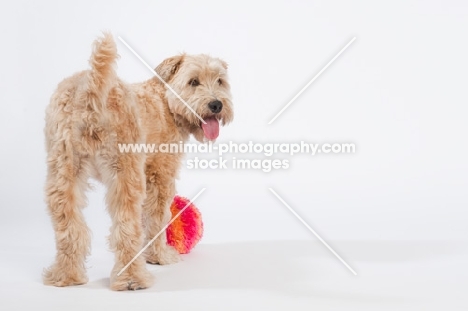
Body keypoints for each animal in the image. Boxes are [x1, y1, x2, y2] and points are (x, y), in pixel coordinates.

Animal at [43, 33, 233, 292]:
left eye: (220, 81)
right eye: (194, 82)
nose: (216, 105)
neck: (165, 103)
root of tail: (90, 89)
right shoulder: (161, 176)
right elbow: (157, 219)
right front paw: (159, 256)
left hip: (63, 175)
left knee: (68, 227)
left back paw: (66, 275)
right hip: (126, 176)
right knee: (126, 230)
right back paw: (132, 279)